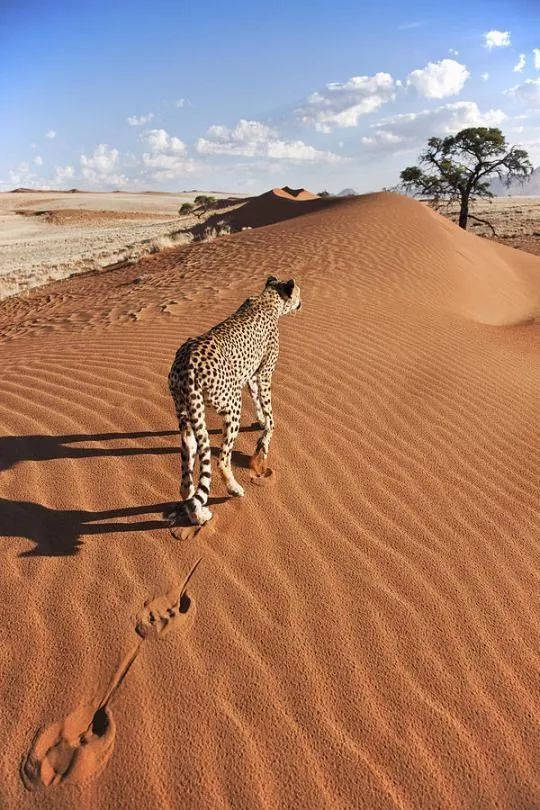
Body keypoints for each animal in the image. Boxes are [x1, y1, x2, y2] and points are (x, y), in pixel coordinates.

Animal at [167, 276, 302, 524]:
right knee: (221, 459)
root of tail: (187, 361)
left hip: (185, 413)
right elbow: (271, 416)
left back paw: (197, 514)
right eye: (298, 292)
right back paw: (234, 489)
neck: (269, 299)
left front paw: (260, 423)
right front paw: (262, 446)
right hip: (231, 406)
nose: (301, 302)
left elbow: (257, 401)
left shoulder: (250, 376)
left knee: (187, 478)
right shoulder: (264, 374)